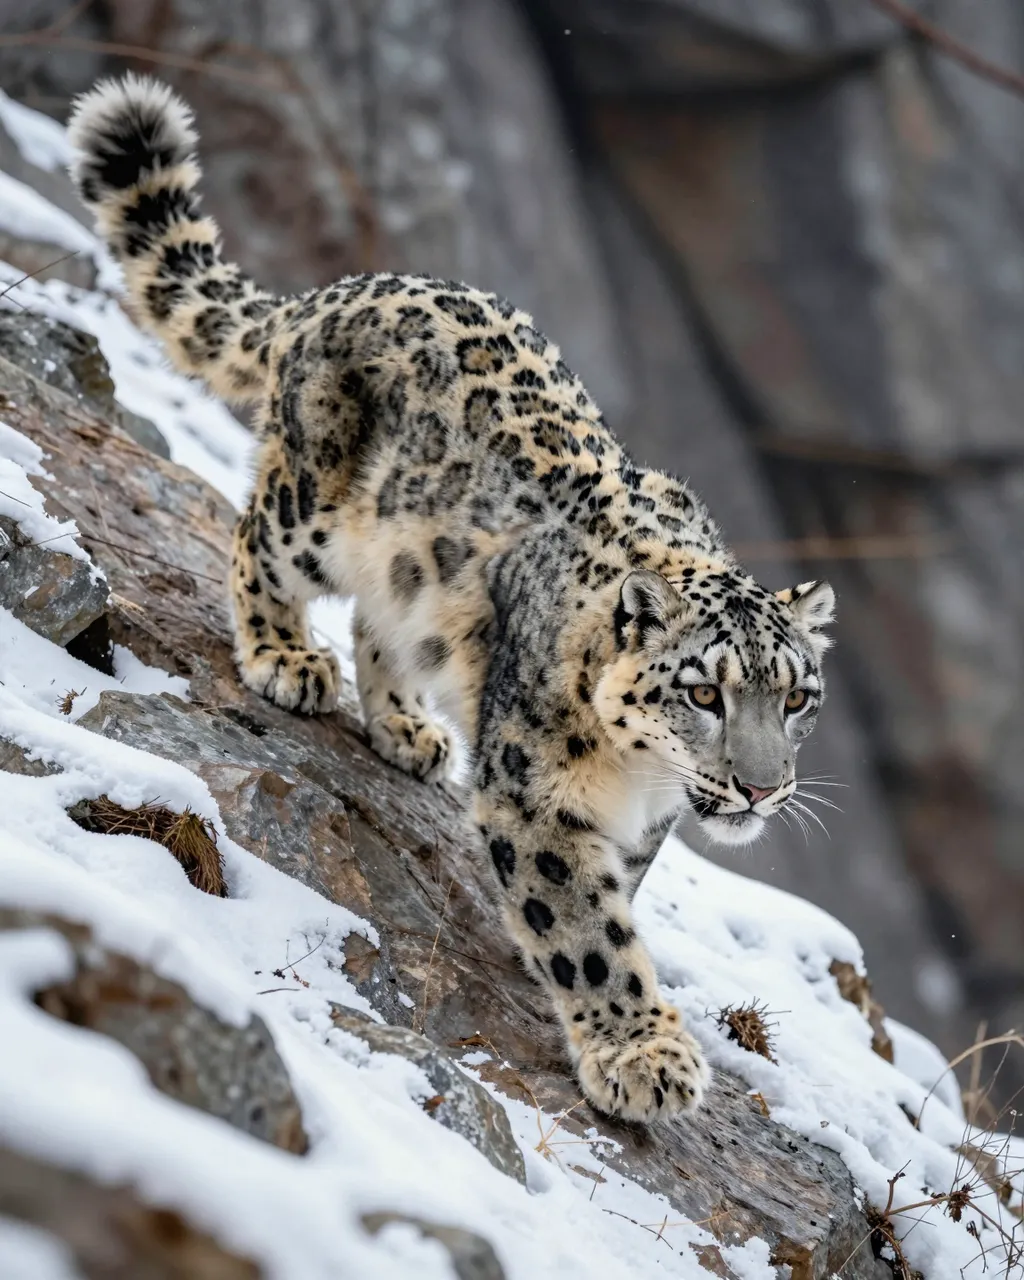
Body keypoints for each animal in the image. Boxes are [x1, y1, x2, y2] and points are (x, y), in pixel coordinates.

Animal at [68, 75, 835, 1125]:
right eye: (705, 693)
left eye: (793, 696)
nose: (761, 787)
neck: (641, 778)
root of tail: (337, 290)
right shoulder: (534, 795)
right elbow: (587, 928)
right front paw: (644, 1055)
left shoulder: (645, 824)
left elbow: (616, 896)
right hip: (314, 509)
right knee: (255, 539)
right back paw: (284, 659)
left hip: (414, 574)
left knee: (382, 623)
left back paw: (406, 728)